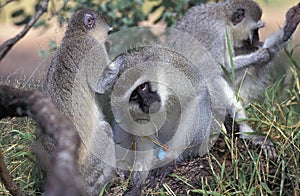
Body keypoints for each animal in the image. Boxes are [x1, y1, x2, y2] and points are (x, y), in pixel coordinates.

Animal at [37, 8, 120, 195]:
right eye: (108, 31)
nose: (110, 35)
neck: (76, 35)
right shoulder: (92, 48)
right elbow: (100, 84)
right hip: (89, 168)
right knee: (105, 129)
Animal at [172, 0, 300, 154]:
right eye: (255, 30)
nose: (257, 40)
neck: (224, 17)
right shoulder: (218, 33)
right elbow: (218, 67)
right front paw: (260, 55)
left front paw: (289, 26)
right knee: (212, 78)